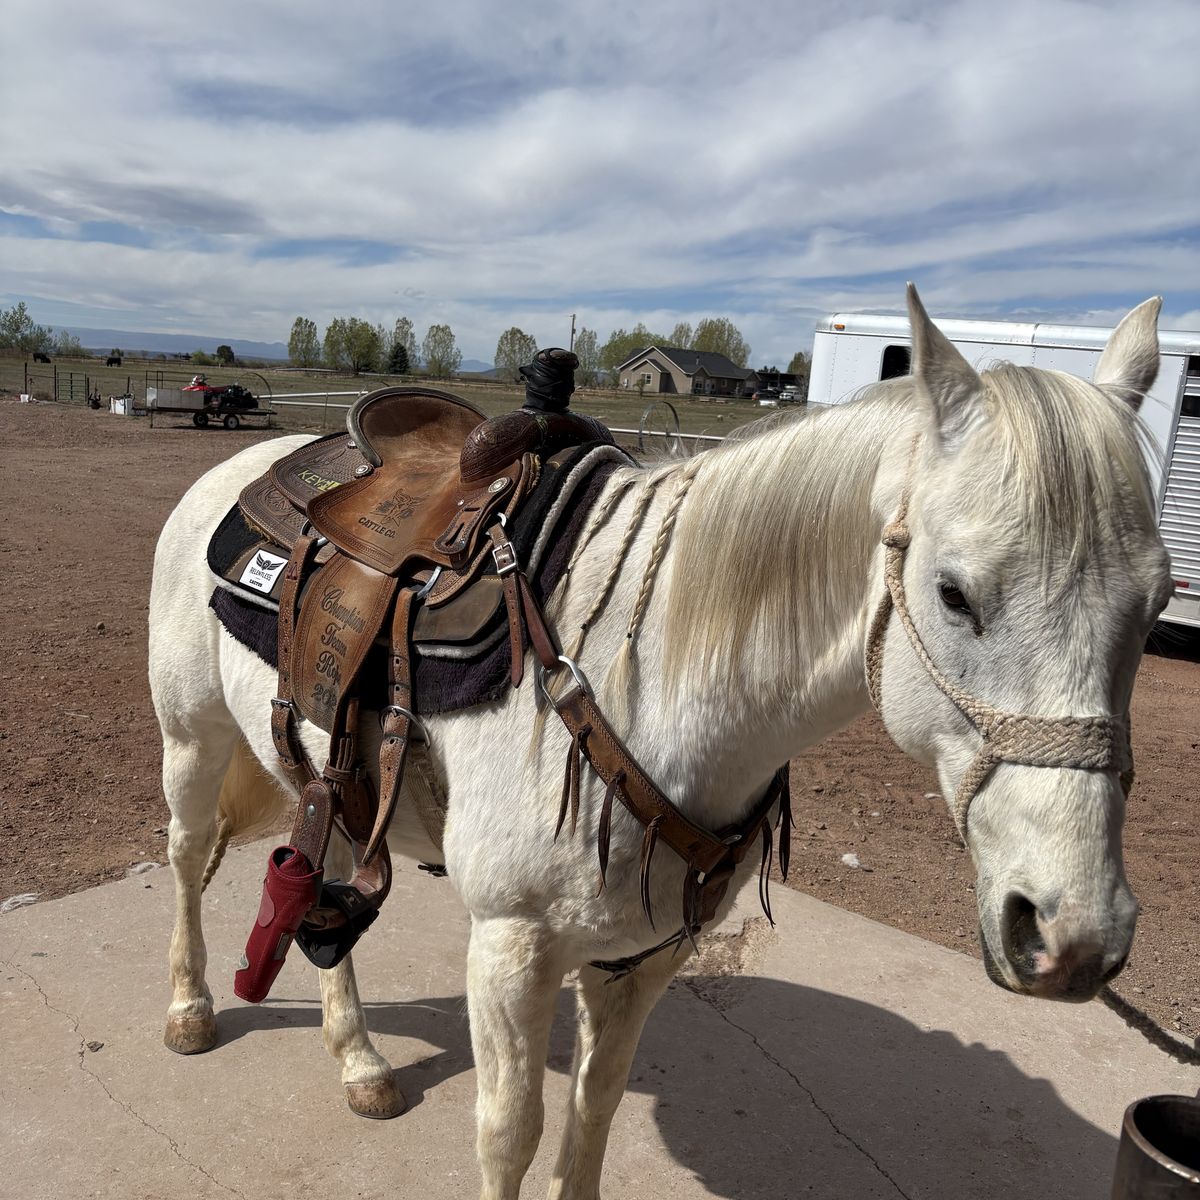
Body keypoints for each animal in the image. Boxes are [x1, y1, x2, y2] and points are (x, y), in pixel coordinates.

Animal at [149, 286, 1172, 1199]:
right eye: (955, 593)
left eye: (1158, 601)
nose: (1074, 934)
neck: (639, 677)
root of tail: (256, 462)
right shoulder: (511, 948)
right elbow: (509, 1137)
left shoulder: (642, 958)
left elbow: (592, 1119)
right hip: (191, 741)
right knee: (189, 856)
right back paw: (191, 1010)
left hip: (319, 775)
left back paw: (359, 1058)